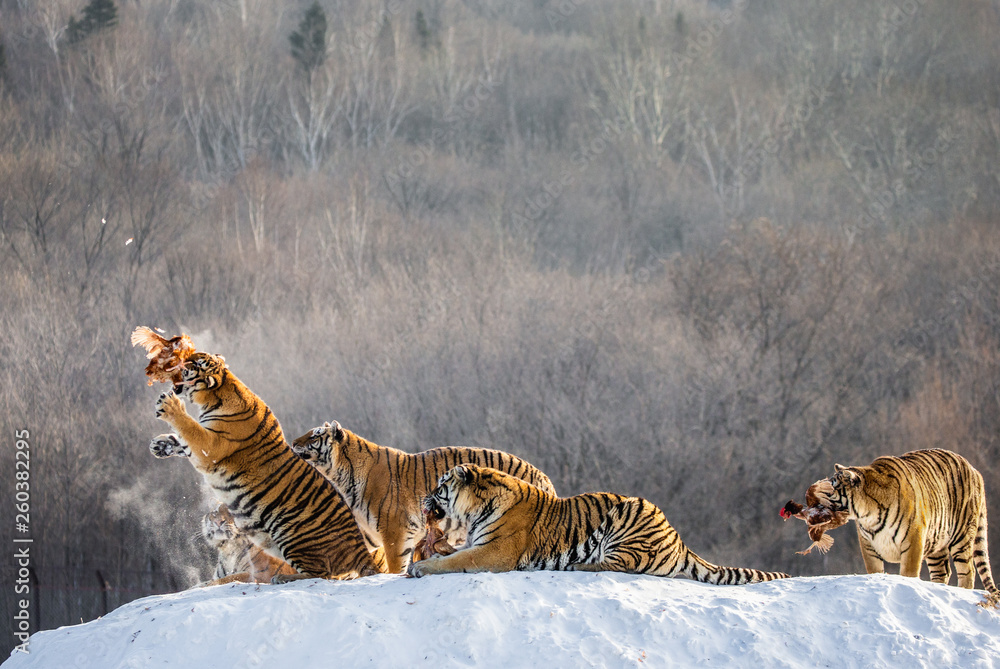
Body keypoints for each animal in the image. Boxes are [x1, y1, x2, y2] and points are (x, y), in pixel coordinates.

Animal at [148, 351, 381, 581]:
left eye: (193, 363)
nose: (175, 362)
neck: (216, 395)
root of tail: (360, 547)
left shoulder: (211, 446)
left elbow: (189, 429)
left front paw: (169, 406)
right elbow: (182, 440)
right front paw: (160, 445)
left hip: (289, 531)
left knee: (323, 575)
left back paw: (283, 578)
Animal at [290, 420, 557, 574]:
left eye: (314, 435)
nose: (292, 442)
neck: (342, 475)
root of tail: (545, 477)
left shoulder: (395, 533)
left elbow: (394, 567)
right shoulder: (368, 532)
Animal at [406, 464, 788, 584]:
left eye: (439, 487)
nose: (423, 498)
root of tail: (680, 542)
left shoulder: (493, 552)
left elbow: (456, 560)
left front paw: (421, 567)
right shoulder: (478, 544)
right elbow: (450, 554)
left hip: (631, 514)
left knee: (622, 565)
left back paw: (578, 565)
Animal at [809, 448, 999, 608]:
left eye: (828, 489)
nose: (810, 502)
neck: (867, 514)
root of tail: (974, 470)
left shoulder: (913, 540)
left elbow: (908, 572)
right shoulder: (868, 545)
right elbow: (875, 570)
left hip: (961, 536)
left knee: (968, 570)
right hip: (937, 544)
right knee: (943, 571)